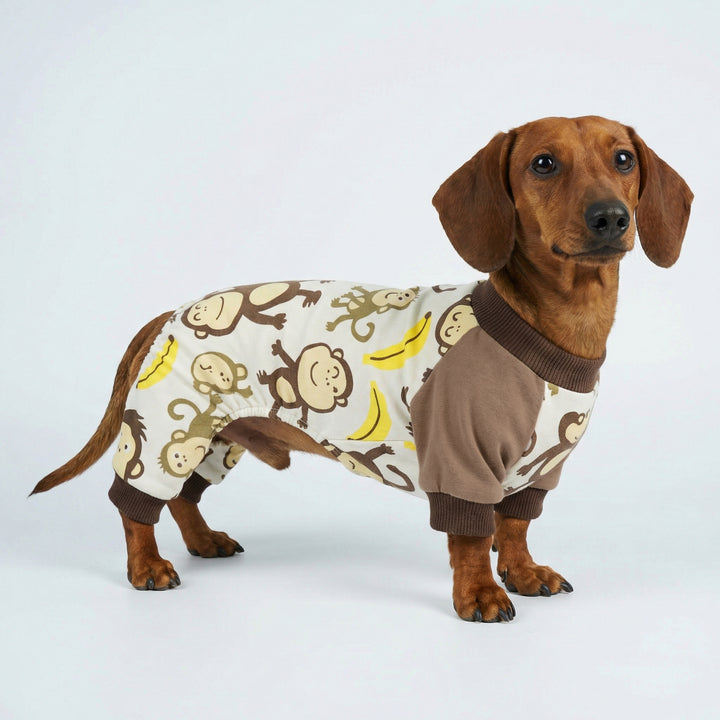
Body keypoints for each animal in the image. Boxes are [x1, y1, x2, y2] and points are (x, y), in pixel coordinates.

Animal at [181, 281, 322, 339]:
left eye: (198, 310)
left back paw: (313, 296)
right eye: (197, 317)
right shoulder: (248, 312)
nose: (203, 308)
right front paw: (277, 320)